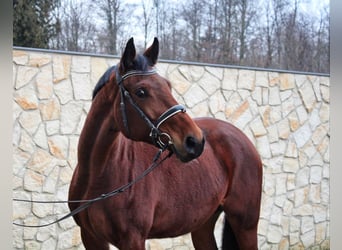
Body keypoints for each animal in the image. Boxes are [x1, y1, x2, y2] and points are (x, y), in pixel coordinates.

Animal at [69, 37, 262, 250]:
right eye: (141, 92)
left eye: (168, 86)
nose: (195, 141)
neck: (97, 176)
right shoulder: (91, 237)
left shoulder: (133, 240)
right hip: (203, 226)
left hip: (245, 225)